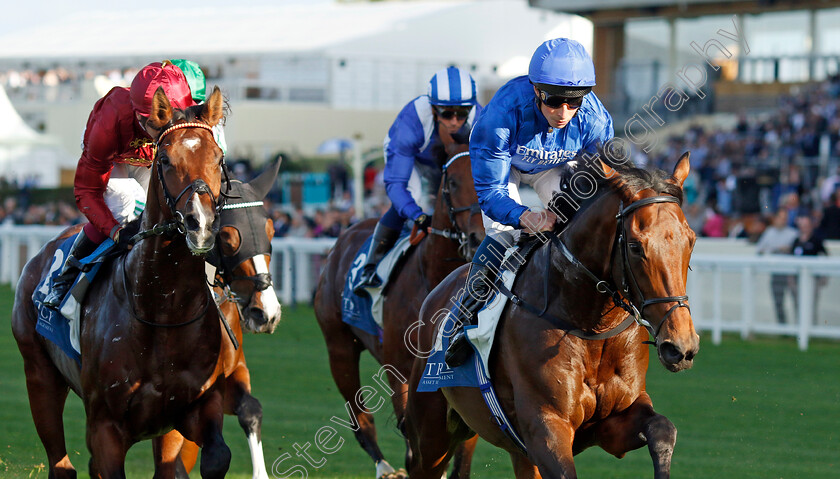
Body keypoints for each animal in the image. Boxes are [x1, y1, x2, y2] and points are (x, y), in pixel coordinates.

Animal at [13, 87, 235, 479]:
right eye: (165, 159)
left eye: (218, 157)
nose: (201, 224)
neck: (162, 310)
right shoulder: (105, 427)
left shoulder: (193, 407)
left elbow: (214, 457)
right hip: (38, 375)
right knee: (61, 463)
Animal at [314, 144, 486, 478]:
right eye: (453, 182)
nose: (478, 236)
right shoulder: (401, 369)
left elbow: (463, 450)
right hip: (339, 346)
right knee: (361, 418)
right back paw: (385, 468)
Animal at [406, 155, 704, 479]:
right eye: (636, 246)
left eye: (691, 240)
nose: (681, 347)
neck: (590, 326)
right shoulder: (546, 426)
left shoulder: (612, 421)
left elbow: (663, 428)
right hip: (432, 430)